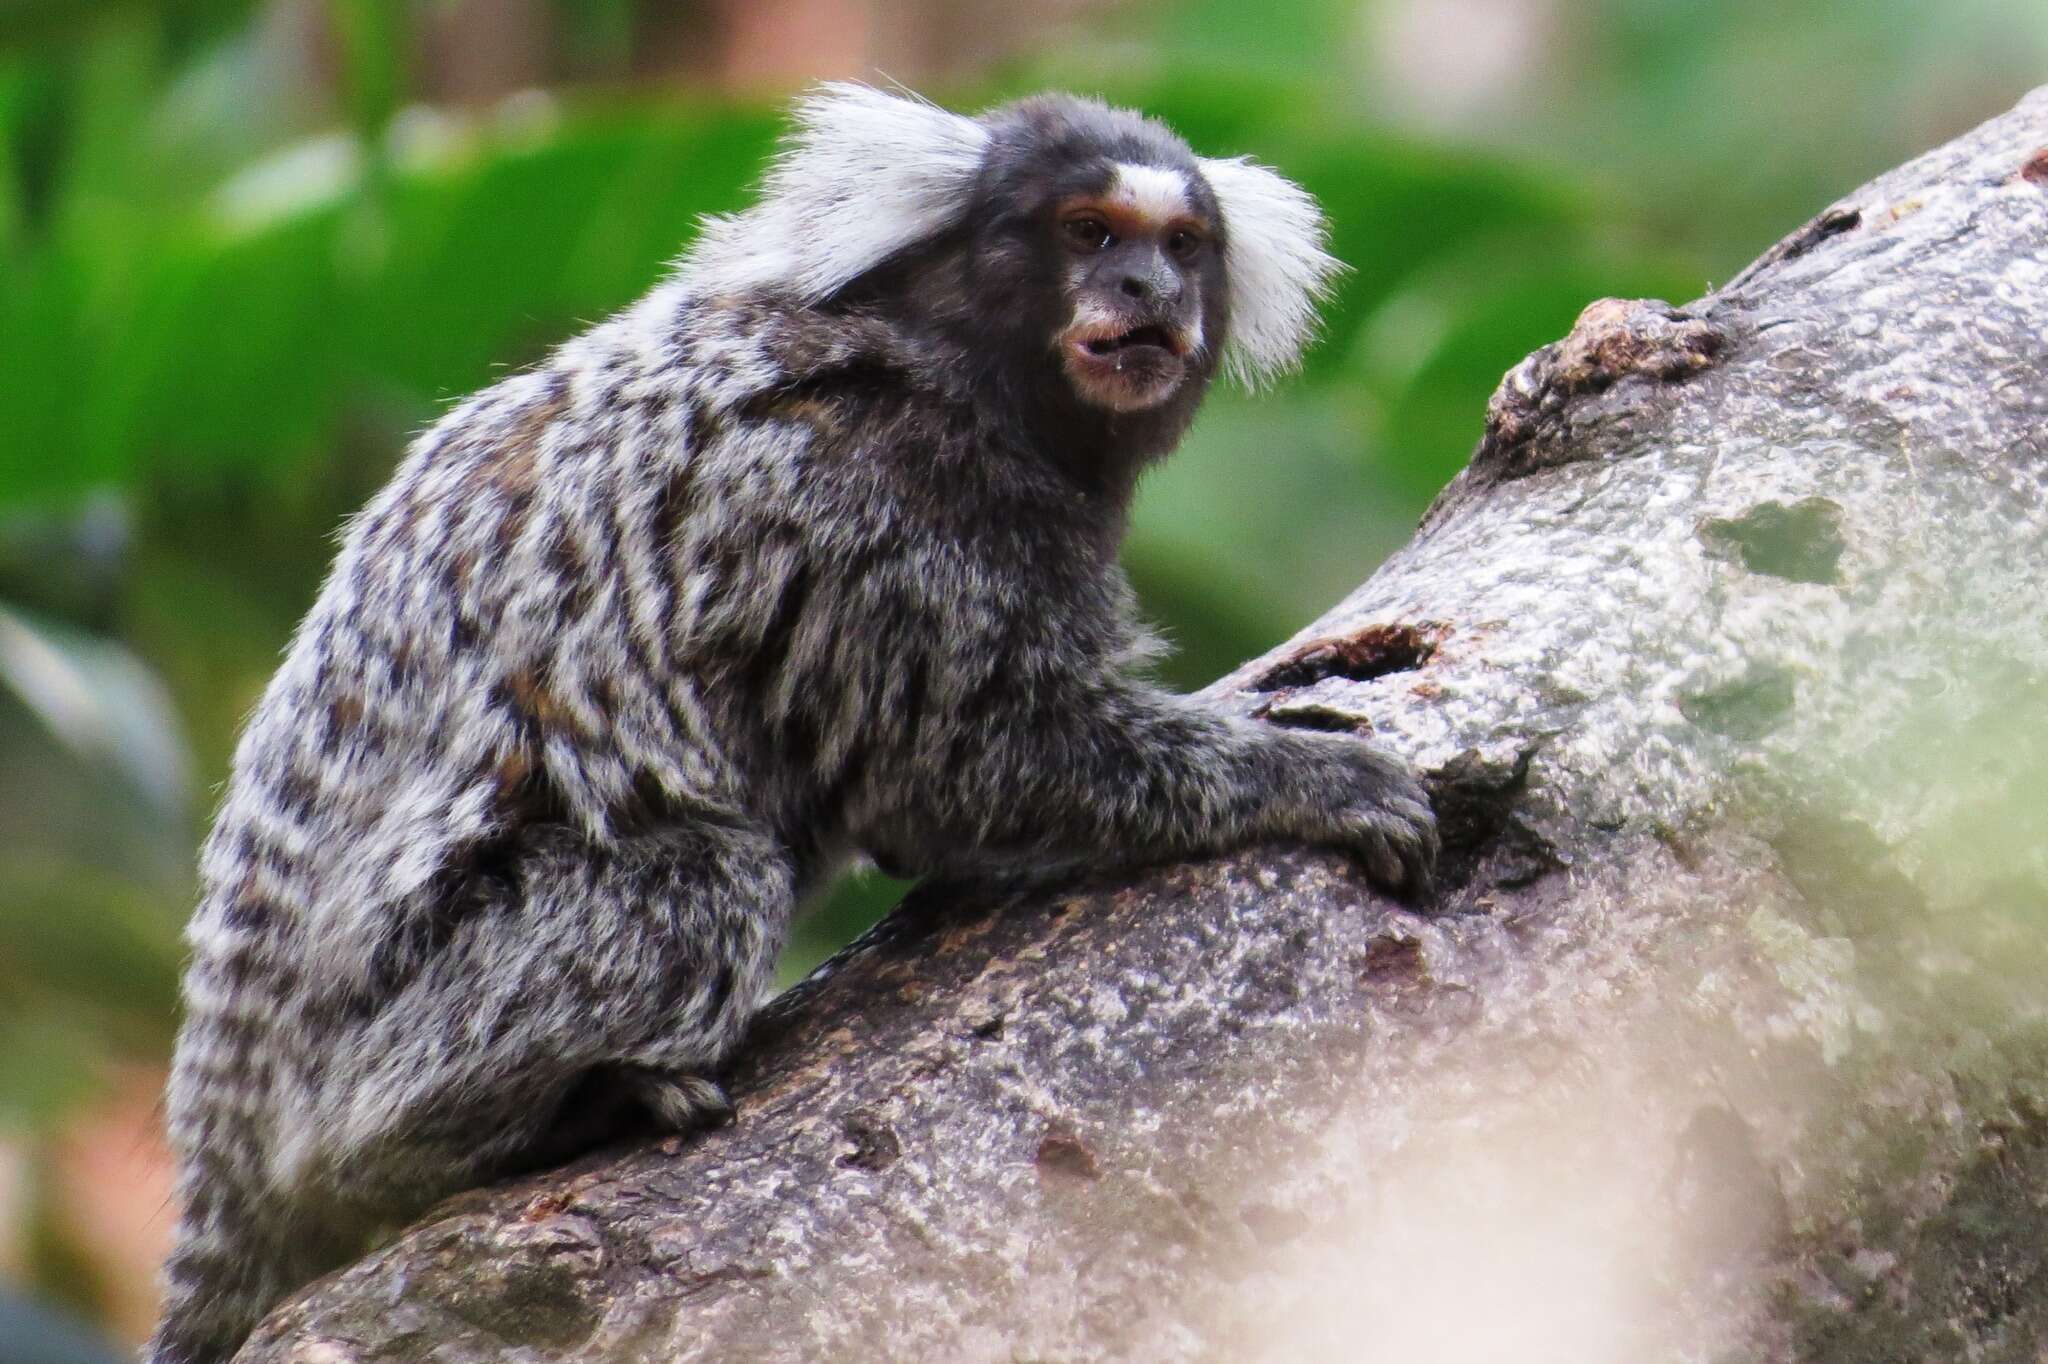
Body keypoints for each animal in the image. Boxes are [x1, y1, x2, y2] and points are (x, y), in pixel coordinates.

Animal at [148, 87, 1441, 1359]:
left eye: (1180, 246)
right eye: (1087, 233)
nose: (1144, 294)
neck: (955, 363)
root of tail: (231, 1091)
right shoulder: (870, 495)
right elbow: (964, 766)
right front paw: (1305, 775)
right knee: (701, 880)